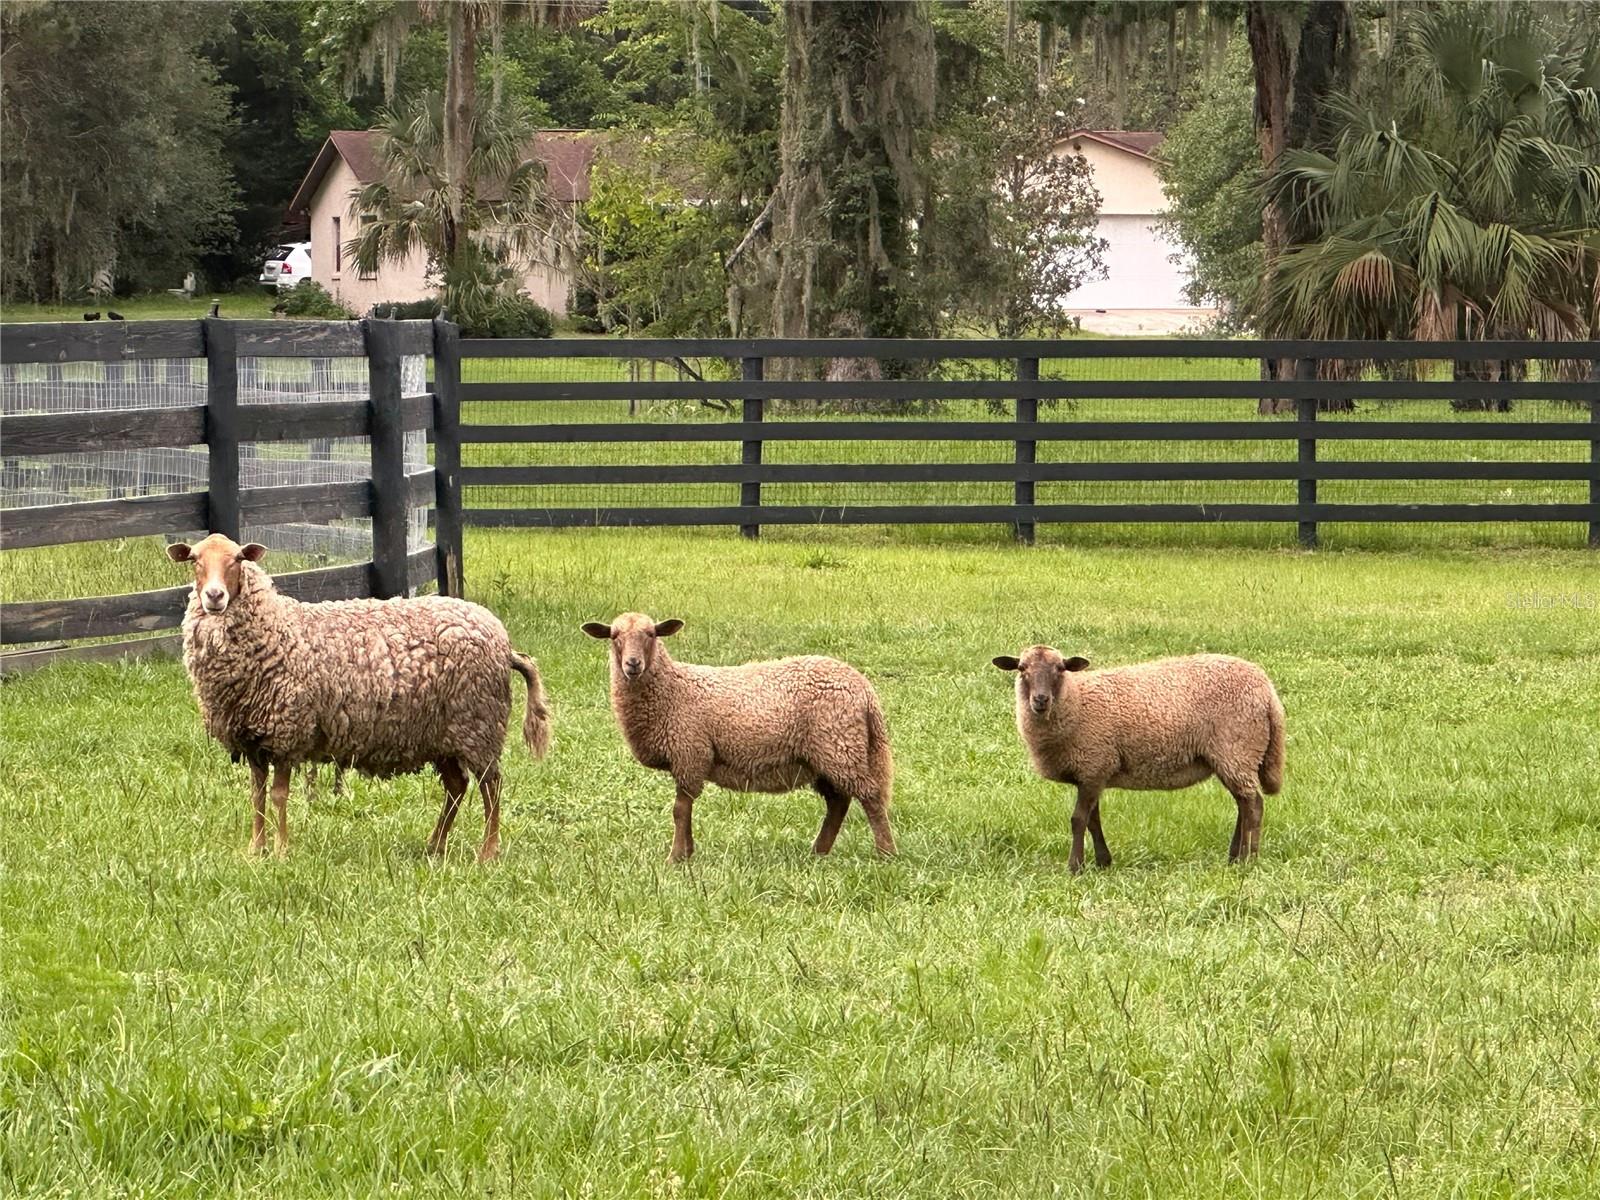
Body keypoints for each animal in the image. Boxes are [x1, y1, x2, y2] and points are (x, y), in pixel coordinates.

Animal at [166, 533, 550, 861]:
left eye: (237, 559)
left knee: (492, 786)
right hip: (442, 734)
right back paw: (435, 845)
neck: (275, 630)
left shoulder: (288, 733)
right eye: (195, 560)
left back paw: (488, 852)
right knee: (458, 786)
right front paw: (255, 850)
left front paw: (281, 851)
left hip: (478, 723)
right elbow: (257, 795)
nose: (214, 596)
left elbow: (278, 795)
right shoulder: (254, 739)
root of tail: (504, 645)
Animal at [581, 612, 896, 862]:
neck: (672, 689)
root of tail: (865, 689)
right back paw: (819, 852)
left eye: (651, 634)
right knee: (838, 803)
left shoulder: (689, 751)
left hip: (839, 745)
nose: (632, 664)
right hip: (823, 756)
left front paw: (676, 857)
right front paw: (687, 852)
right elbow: (685, 810)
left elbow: (680, 810)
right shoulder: (689, 756)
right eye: (614, 636)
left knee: (870, 796)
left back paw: (886, 853)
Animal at [991, 646, 1285, 872]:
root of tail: (1268, 691)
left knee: (1254, 805)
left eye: (1060, 669)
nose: (1040, 700)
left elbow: (1078, 820)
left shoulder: (1094, 764)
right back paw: (1234, 857)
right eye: (1022, 669)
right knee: (1243, 804)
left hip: (1237, 749)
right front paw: (1102, 862)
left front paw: (1075, 866)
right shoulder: (1093, 771)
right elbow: (1093, 821)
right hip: (1231, 757)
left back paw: (1250, 859)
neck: (1076, 701)